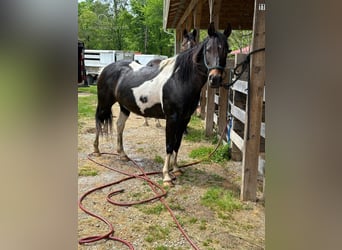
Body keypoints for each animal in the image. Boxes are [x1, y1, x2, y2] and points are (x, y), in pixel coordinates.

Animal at [94, 22, 232, 186]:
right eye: (208, 49)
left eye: (227, 50)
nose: (214, 79)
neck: (179, 80)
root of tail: (105, 69)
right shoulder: (172, 119)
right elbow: (169, 145)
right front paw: (166, 176)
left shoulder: (184, 119)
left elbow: (177, 144)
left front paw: (176, 168)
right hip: (104, 104)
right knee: (98, 122)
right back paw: (96, 150)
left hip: (124, 107)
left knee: (119, 125)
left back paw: (122, 154)